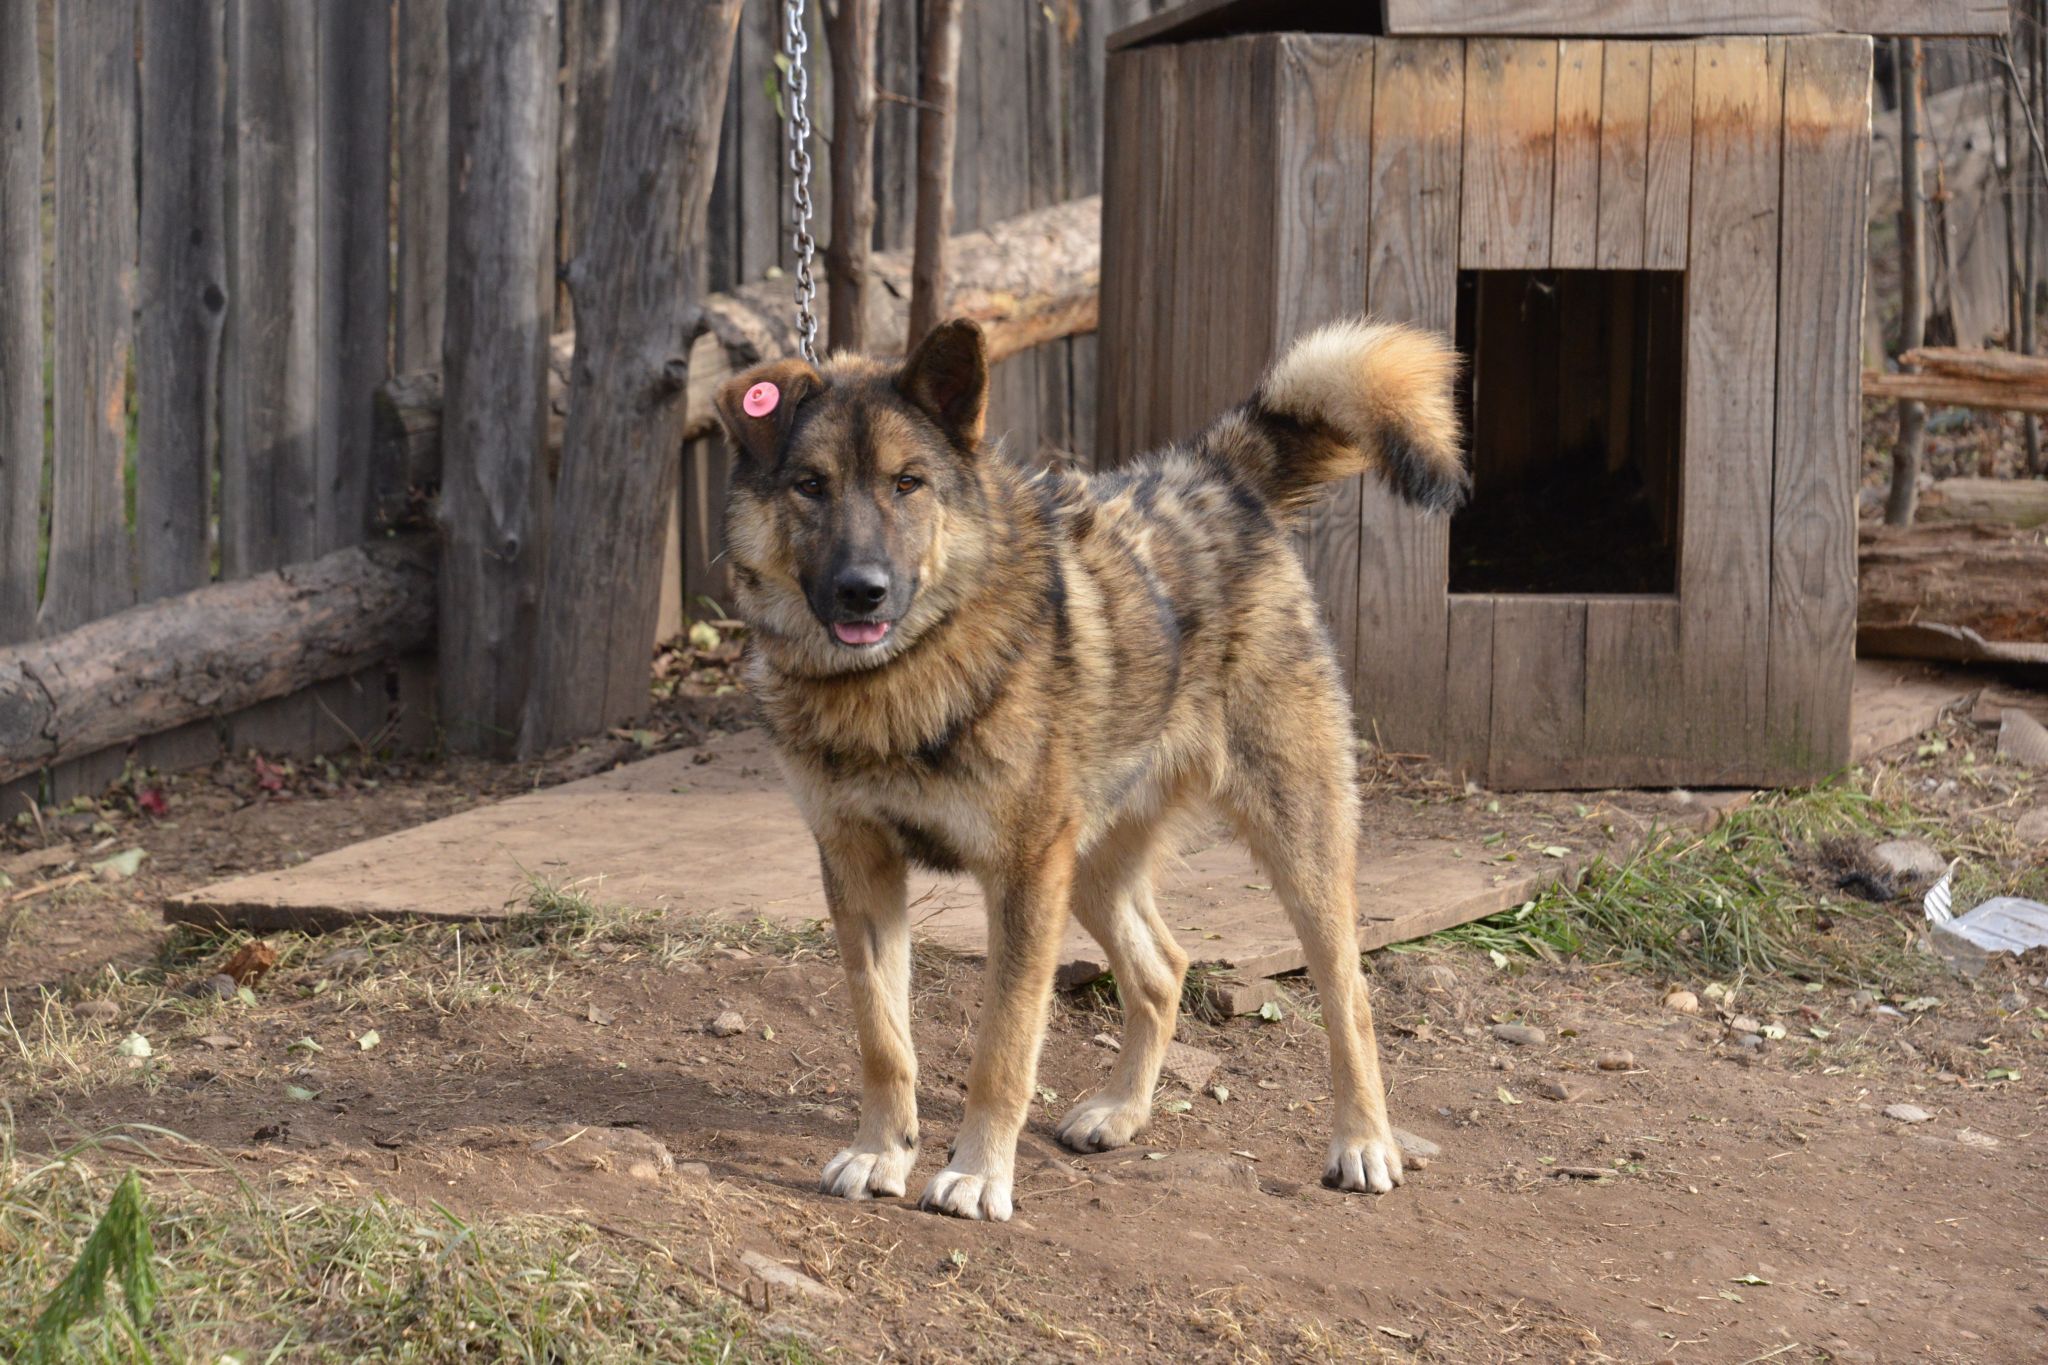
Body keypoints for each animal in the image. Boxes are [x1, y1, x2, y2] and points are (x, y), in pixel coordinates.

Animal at [712, 317, 1466, 1219]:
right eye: (810, 485)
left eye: (908, 483)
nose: (864, 590)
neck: (898, 679)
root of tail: (1212, 472)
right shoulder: (859, 871)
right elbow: (883, 1040)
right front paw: (880, 1151)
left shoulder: (1023, 878)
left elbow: (1003, 1047)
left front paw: (977, 1173)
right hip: (1094, 868)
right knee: (1164, 970)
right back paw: (1121, 1112)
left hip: (1293, 847)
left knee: (1348, 994)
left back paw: (1363, 1143)